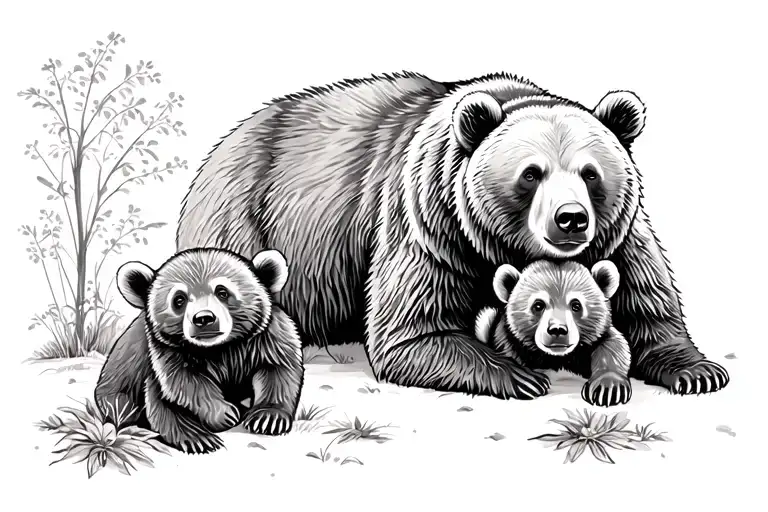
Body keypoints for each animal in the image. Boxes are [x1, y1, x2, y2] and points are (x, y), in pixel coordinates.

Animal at [94, 248, 304, 454]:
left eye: (222, 291)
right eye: (179, 299)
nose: (204, 318)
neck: (220, 348)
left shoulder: (264, 339)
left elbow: (277, 368)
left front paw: (268, 417)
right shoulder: (167, 353)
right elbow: (182, 385)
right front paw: (221, 417)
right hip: (121, 382)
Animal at [474, 260, 632, 407]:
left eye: (576, 305)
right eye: (538, 305)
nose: (557, 329)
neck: (557, 358)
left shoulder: (595, 339)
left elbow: (614, 346)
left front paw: (608, 387)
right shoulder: (510, 342)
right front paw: (527, 380)